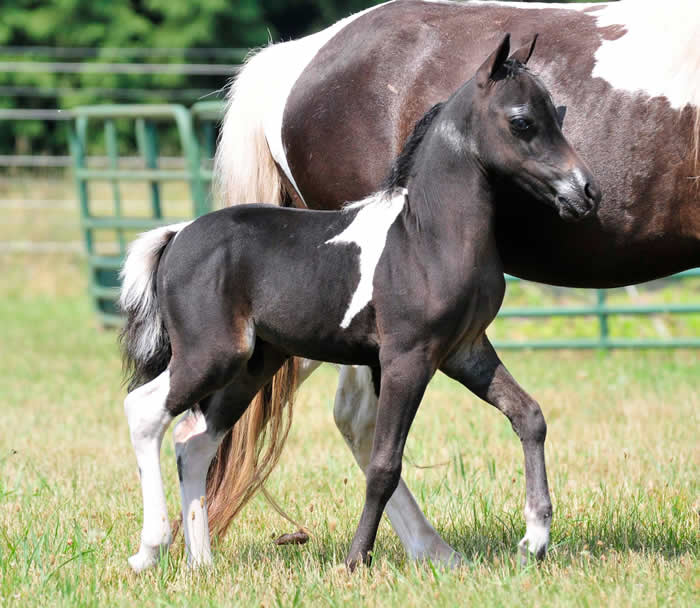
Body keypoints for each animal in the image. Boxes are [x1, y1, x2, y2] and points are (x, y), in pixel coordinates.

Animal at [120, 35, 600, 572]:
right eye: (522, 122)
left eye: (558, 115)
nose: (587, 192)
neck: (426, 236)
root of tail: (178, 235)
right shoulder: (406, 358)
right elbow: (384, 463)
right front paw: (355, 560)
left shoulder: (465, 350)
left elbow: (529, 416)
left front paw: (535, 539)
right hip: (211, 355)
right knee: (145, 412)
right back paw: (149, 549)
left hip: (252, 364)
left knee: (196, 441)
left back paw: (201, 562)